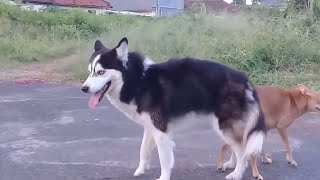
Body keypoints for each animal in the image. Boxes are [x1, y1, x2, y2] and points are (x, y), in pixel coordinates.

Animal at [81, 38, 266, 180]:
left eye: (101, 72)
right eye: (90, 71)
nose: (83, 88)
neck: (139, 80)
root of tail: (243, 77)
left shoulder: (161, 132)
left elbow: (164, 160)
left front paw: (163, 177)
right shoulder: (151, 127)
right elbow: (143, 150)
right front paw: (141, 170)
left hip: (223, 126)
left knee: (243, 150)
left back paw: (237, 173)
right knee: (239, 146)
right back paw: (232, 165)